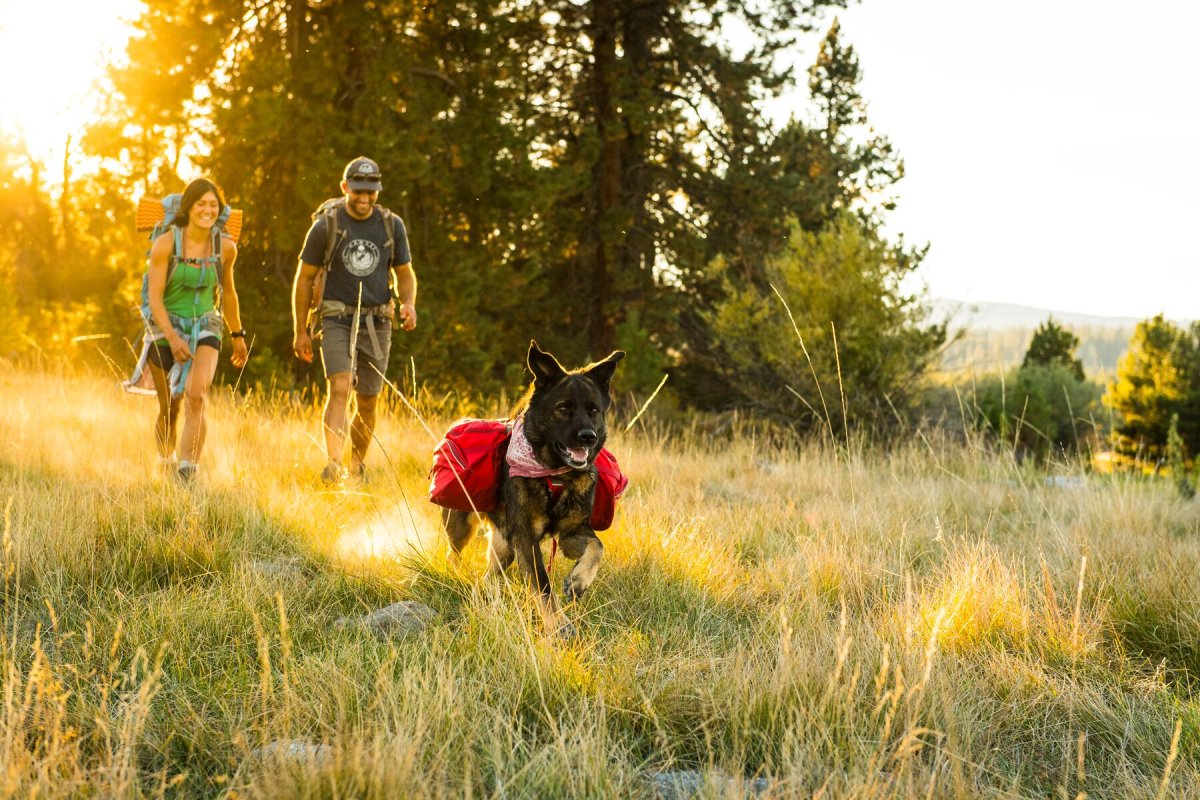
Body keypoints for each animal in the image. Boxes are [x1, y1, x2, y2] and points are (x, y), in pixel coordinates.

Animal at [444, 340, 628, 633]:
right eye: (563, 408)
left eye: (594, 410)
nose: (588, 437)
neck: (556, 476)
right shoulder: (526, 538)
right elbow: (543, 585)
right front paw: (559, 625)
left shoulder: (570, 533)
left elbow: (597, 547)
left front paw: (578, 581)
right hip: (461, 527)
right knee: (453, 554)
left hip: (505, 545)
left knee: (490, 575)